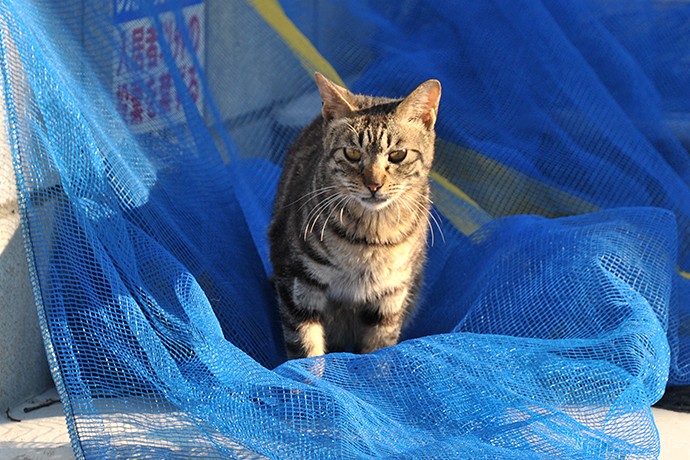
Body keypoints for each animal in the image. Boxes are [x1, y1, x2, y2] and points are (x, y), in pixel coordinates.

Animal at [268, 73, 440, 360]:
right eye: (352, 153)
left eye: (398, 155)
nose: (374, 184)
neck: (370, 238)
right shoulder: (298, 281)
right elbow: (306, 349)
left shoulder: (391, 296)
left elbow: (378, 351)